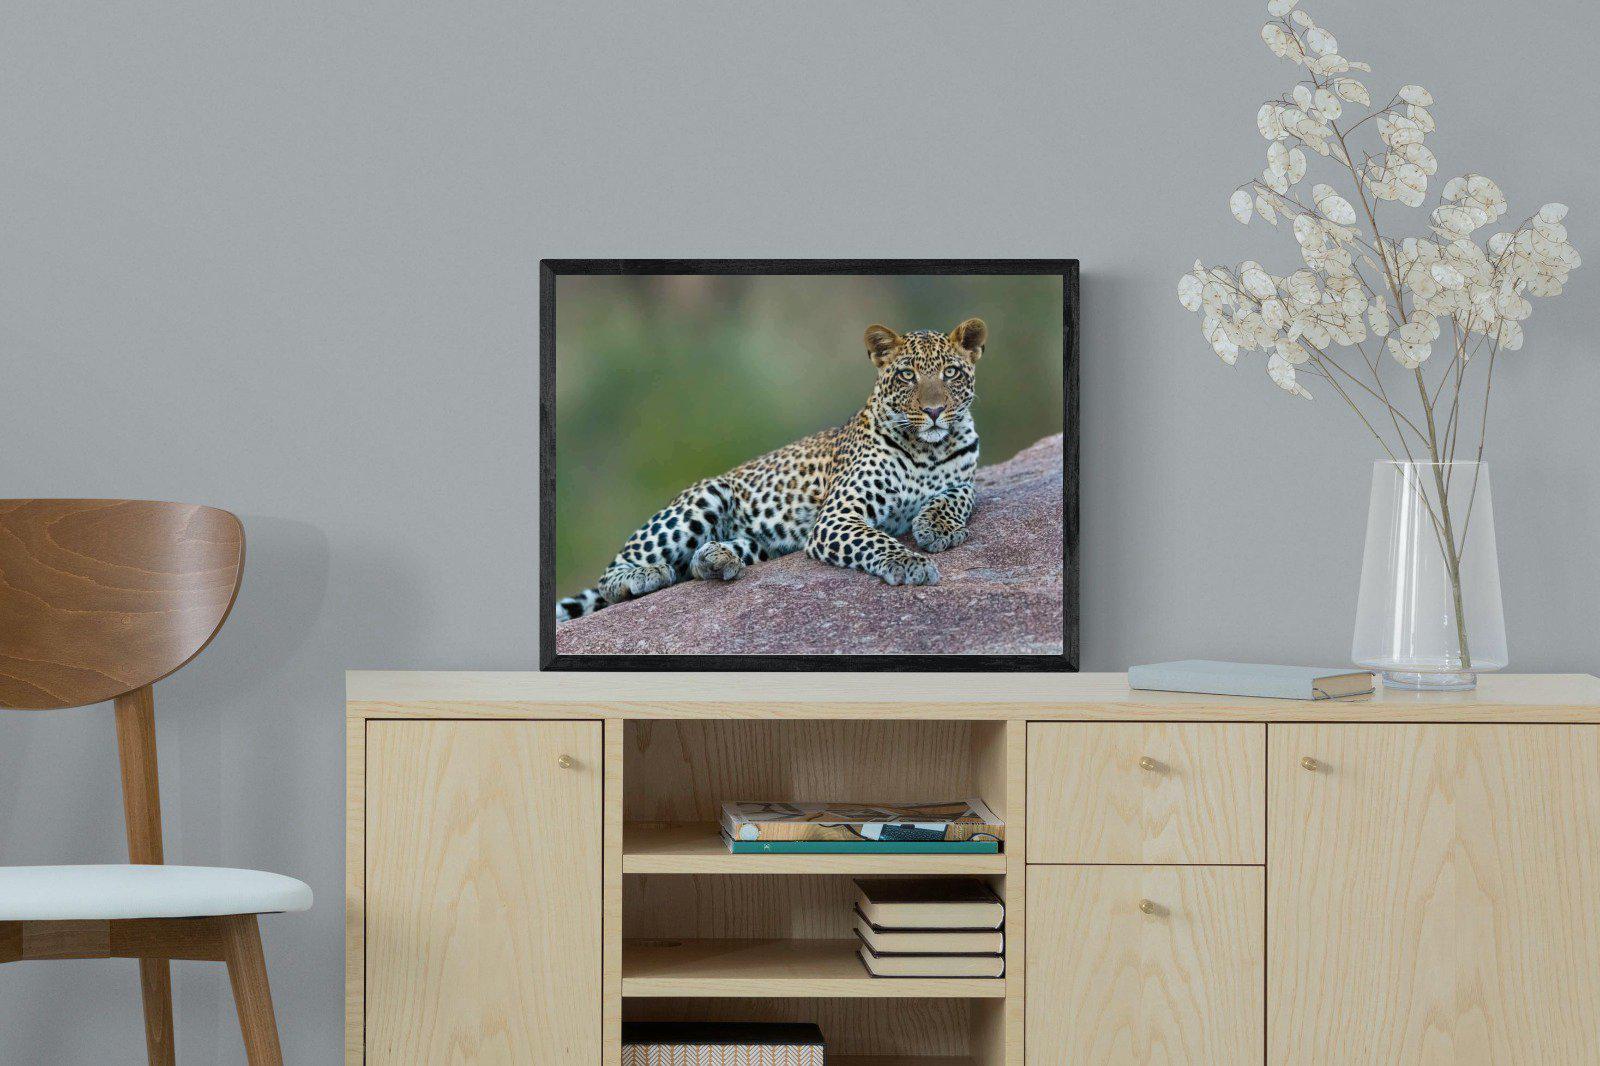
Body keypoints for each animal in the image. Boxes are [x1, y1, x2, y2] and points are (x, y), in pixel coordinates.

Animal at [555, 317, 987, 623]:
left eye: (950, 372)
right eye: (906, 375)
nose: (934, 411)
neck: (928, 448)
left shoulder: (966, 479)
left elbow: (957, 496)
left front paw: (938, 528)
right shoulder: (837, 517)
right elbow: (877, 540)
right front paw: (911, 563)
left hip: (762, 542)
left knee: (696, 563)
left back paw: (716, 559)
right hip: (705, 497)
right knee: (612, 575)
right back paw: (644, 575)